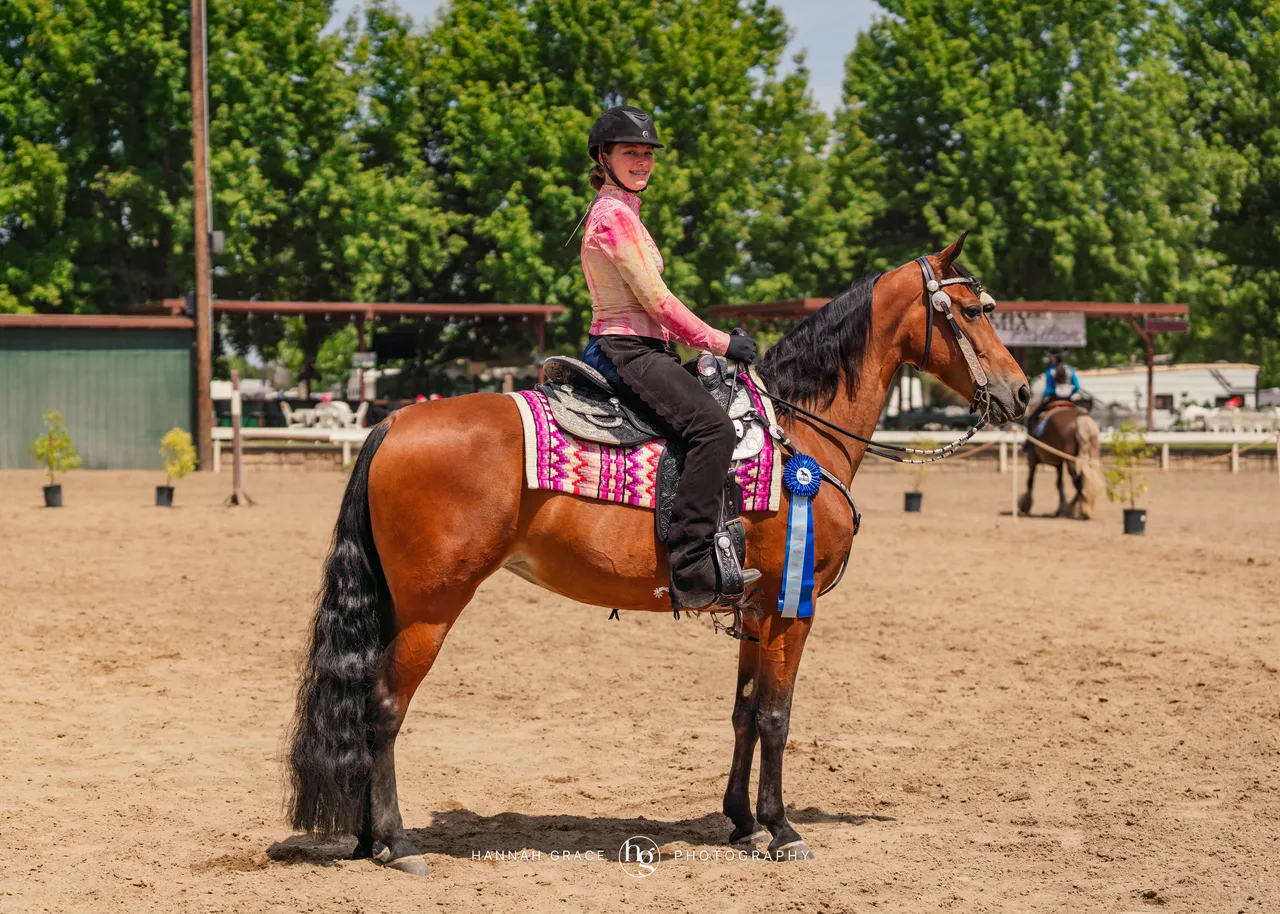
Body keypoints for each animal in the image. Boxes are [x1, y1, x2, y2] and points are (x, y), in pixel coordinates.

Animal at [285, 234, 1030, 876]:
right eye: (971, 311)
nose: (1021, 391)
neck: (798, 432)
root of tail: (391, 421)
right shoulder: (791, 606)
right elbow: (777, 716)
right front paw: (782, 830)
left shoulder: (754, 608)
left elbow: (744, 710)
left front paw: (742, 823)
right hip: (430, 610)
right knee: (383, 708)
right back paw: (398, 843)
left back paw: (366, 840)